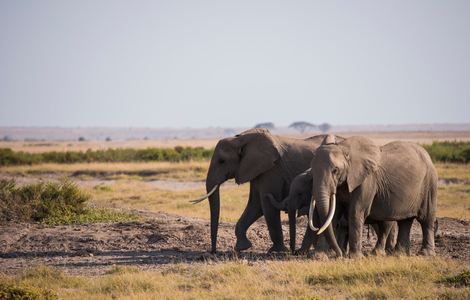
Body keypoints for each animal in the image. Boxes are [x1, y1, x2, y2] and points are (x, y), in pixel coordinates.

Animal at [191, 129, 342, 253]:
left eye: (222, 161)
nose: (213, 251)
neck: (240, 139)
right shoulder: (257, 170)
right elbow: (255, 205)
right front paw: (242, 247)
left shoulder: (272, 170)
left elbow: (265, 204)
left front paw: (277, 251)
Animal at [308, 135, 436, 256]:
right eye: (312, 172)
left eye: (335, 170)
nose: (340, 254)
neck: (344, 149)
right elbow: (333, 215)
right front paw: (320, 257)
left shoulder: (367, 180)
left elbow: (356, 212)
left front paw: (355, 257)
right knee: (405, 221)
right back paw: (398, 254)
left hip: (429, 183)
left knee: (426, 220)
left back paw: (425, 253)